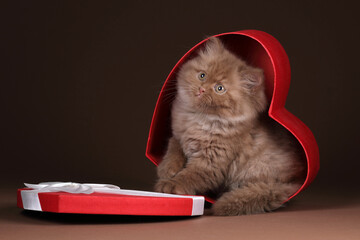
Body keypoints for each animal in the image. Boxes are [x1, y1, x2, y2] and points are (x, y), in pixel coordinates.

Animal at [155, 38, 306, 216]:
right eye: (202, 76)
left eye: (219, 88)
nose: (202, 89)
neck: (198, 118)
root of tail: (295, 181)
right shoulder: (178, 135)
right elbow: (174, 147)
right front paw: (167, 168)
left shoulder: (210, 162)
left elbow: (189, 176)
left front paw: (169, 184)